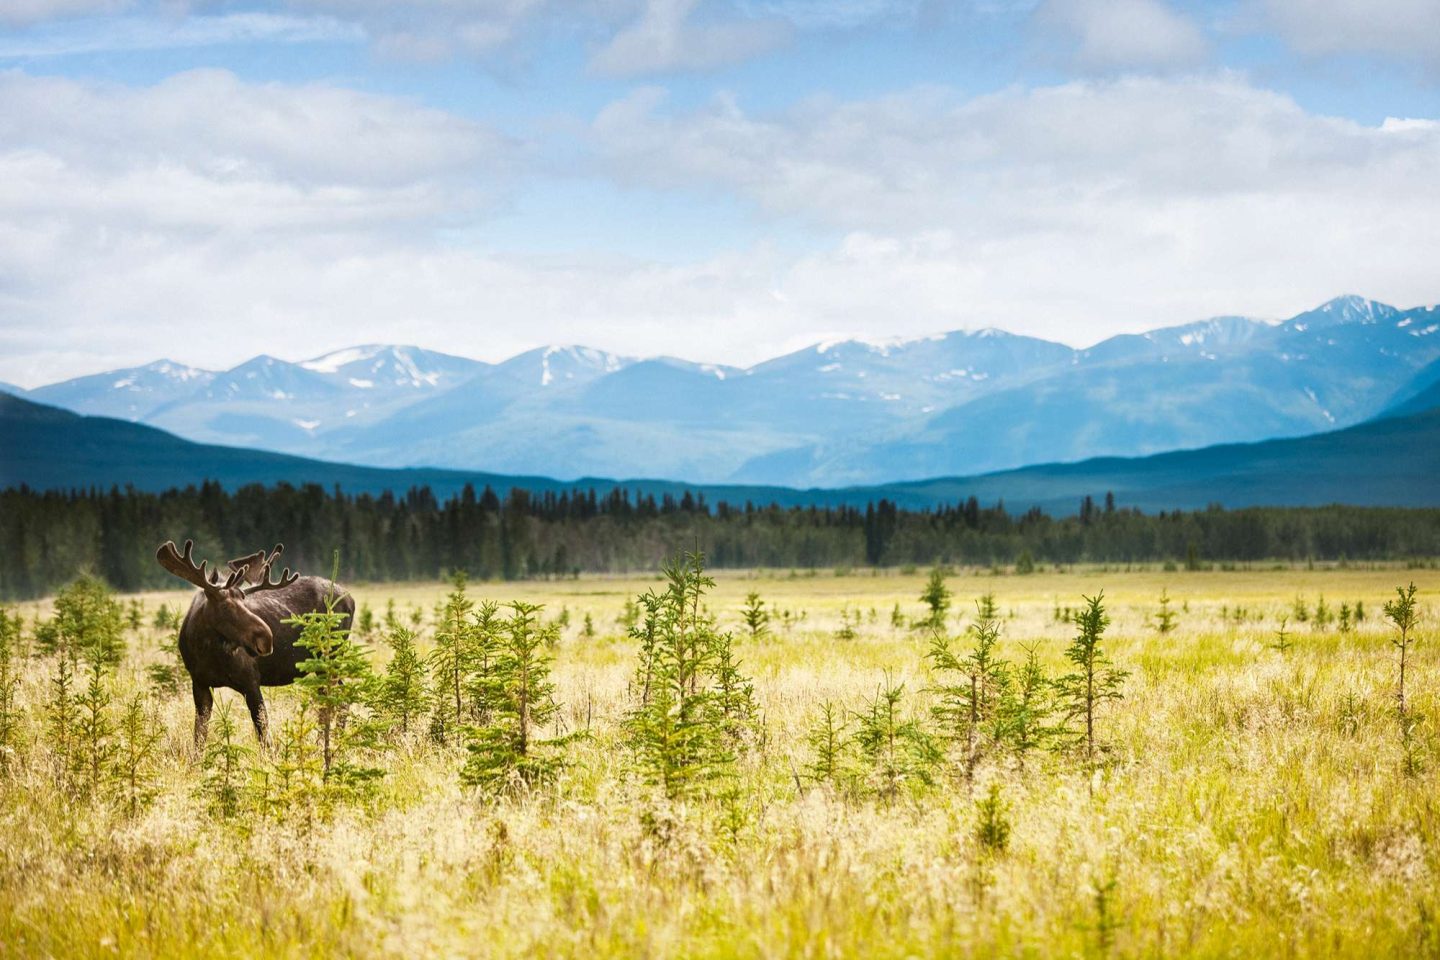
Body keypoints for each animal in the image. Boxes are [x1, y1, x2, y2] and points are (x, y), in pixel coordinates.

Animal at [156, 541, 355, 748]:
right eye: (226, 606)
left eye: (245, 601)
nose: (266, 638)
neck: (205, 651)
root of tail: (351, 599)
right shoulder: (200, 683)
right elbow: (199, 737)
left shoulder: (251, 680)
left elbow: (264, 734)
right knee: (333, 698)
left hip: (330, 657)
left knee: (336, 698)